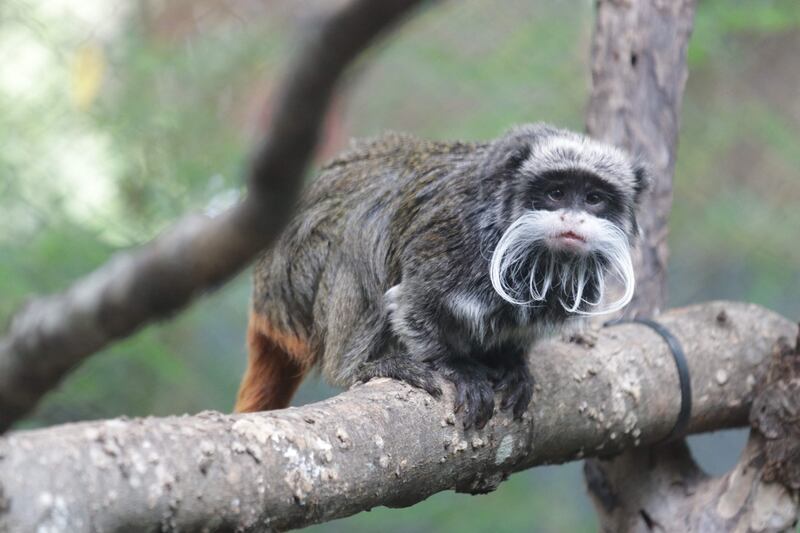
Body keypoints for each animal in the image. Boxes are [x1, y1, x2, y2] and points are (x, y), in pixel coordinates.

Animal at [234, 123, 648, 428]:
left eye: (594, 199)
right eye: (556, 192)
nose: (573, 219)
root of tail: (263, 299)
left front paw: (512, 363)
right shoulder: (451, 241)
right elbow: (411, 306)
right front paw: (457, 368)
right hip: (295, 283)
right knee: (360, 233)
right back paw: (362, 365)